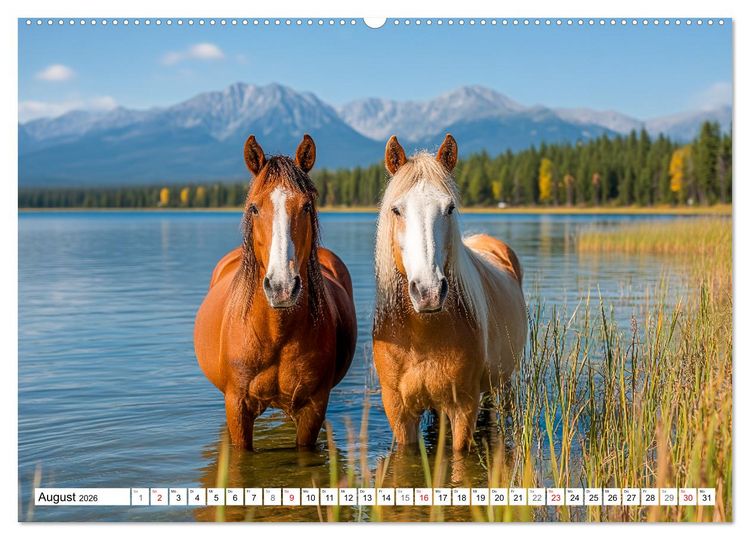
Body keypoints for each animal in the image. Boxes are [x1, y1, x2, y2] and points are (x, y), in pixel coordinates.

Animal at [194, 134, 357, 450]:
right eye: (254, 208)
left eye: (306, 206)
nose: (282, 287)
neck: (275, 333)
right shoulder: (237, 406)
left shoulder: (312, 408)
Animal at [372, 133, 527, 453]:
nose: (428, 291)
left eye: (450, 208)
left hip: (501, 385)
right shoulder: (398, 412)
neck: (422, 334)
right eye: (397, 210)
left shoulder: (463, 407)